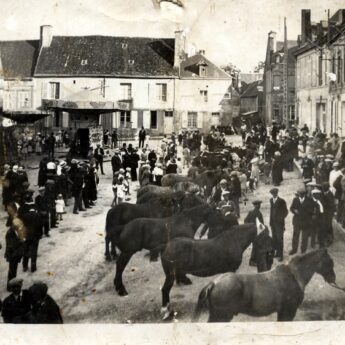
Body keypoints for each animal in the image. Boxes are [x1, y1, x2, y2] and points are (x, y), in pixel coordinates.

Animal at [194, 249, 336, 322]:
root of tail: (213, 283)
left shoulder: (283, 312)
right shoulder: (288, 312)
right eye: (330, 261)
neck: (294, 275)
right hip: (221, 316)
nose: (333, 278)